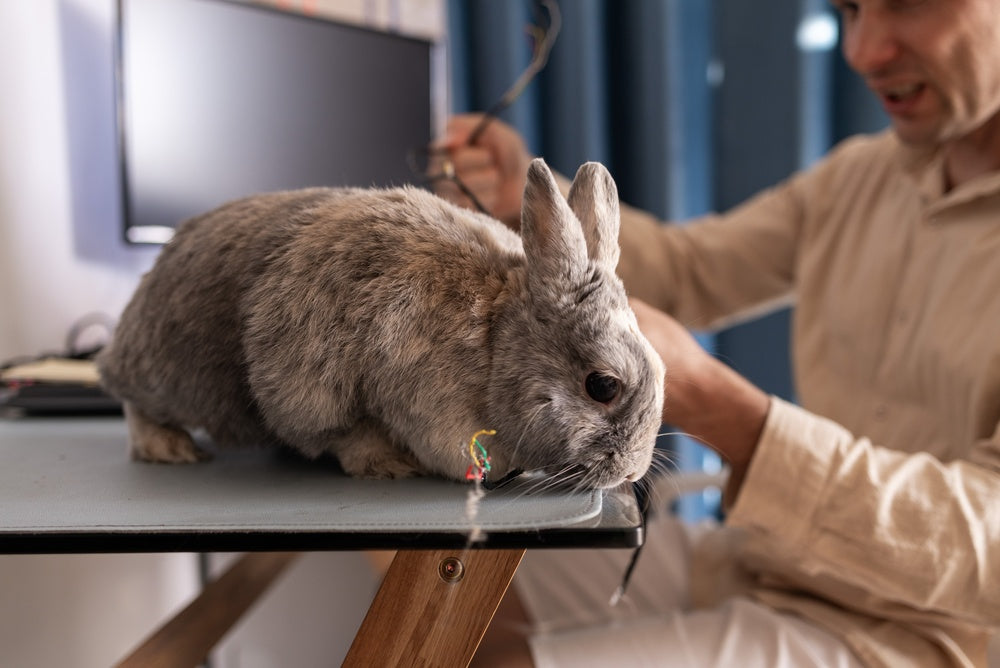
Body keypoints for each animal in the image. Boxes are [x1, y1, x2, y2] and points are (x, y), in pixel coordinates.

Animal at [97, 158, 666, 489]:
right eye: (603, 385)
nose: (632, 470)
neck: (493, 342)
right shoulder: (320, 387)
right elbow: (348, 433)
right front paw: (390, 465)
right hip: (169, 375)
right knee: (133, 403)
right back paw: (169, 448)